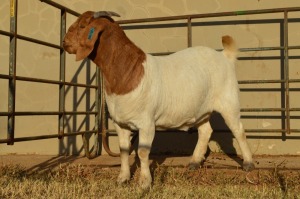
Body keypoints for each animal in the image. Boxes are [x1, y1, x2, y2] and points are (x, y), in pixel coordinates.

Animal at [63, 10, 255, 188]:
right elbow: (124, 151)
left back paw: (248, 163)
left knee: (238, 130)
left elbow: (142, 152)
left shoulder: (146, 122)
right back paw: (194, 162)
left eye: (82, 25)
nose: (64, 42)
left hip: (229, 100)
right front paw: (122, 179)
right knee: (205, 131)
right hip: (201, 109)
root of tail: (225, 56)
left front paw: (145, 182)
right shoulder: (120, 123)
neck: (128, 70)